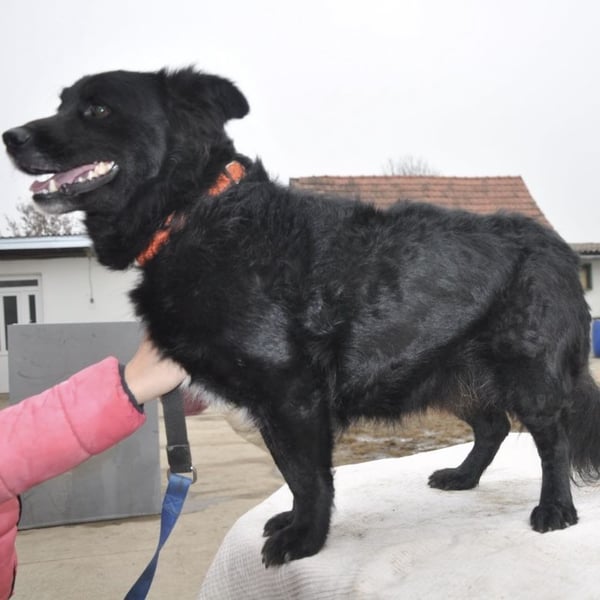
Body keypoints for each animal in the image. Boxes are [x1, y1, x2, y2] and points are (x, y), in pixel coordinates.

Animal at [4, 67, 600, 566]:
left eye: (97, 109)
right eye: (62, 103)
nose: (11, 137)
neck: (193, 213)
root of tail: (561, 250)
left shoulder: (293, 394)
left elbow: (311, 477)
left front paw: (305, 539)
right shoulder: (271, 404)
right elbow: (291, 472)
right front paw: (295, 522)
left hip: (528, 372)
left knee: (551, 438)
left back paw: (556, 510)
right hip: (448, 373)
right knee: (494, 426)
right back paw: (463, 476)